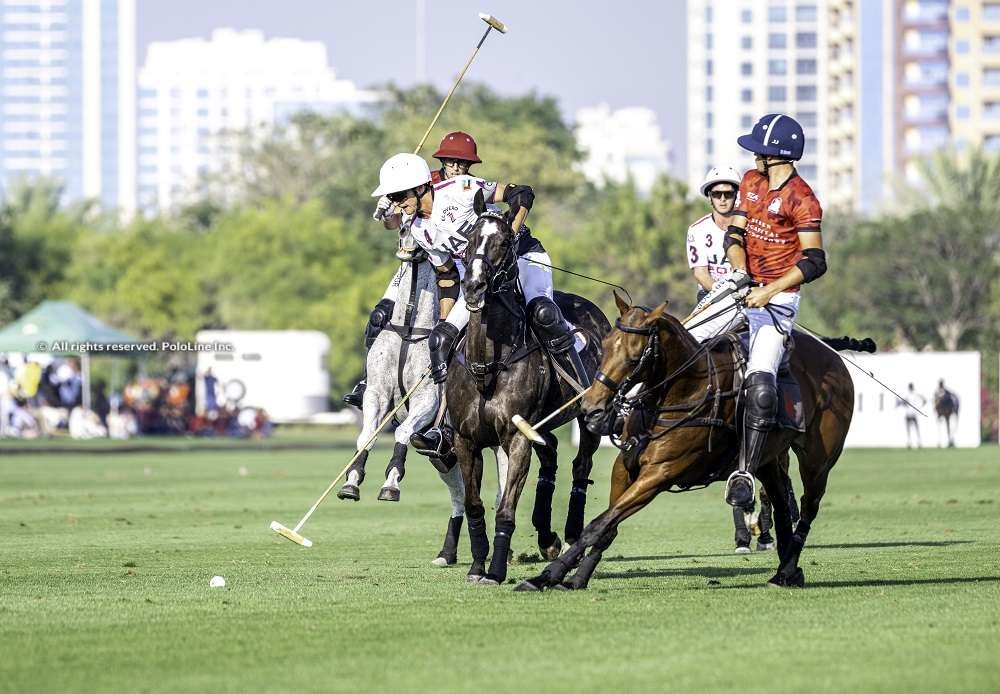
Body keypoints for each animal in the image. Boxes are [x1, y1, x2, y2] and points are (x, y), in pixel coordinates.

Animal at [452, 203, 608, 588]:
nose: (473, 287)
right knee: (550, 454)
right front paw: (477, 566)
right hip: (542, 423)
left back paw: (570, 536)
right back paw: (547, 537)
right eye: (469, 238)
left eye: (506, 242)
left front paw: (495, 571)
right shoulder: (465, 439)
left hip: (586, 417)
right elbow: (475, 505)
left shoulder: (516, 438)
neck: (488, 365)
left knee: (580, 466)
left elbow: (506, 510)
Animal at [520, 294, 856, 592]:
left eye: (634, 356)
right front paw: (571, 578)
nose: (592, 408)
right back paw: (787, 570)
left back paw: (788, 568)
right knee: (783, 505)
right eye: (604, 347)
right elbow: (607, 526)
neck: (677, 395)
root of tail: (834, 357)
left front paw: (548, 575)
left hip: (817, 459)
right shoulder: (624, 467)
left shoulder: (660, 473)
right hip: (768, 460)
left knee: (808, 506)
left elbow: (598, 525)